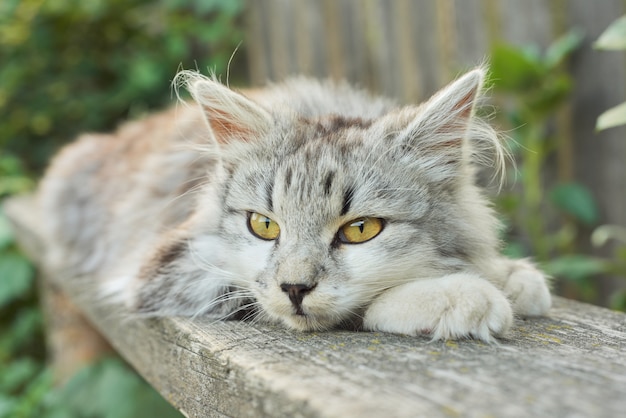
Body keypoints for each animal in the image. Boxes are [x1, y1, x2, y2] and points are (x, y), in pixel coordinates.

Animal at [36, 67, 548, 342]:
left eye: (360, 230)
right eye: (263, 226)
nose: (295, 289)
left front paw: (509, 276)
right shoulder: (167, 268)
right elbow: (361, 306)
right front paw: (462, 294)